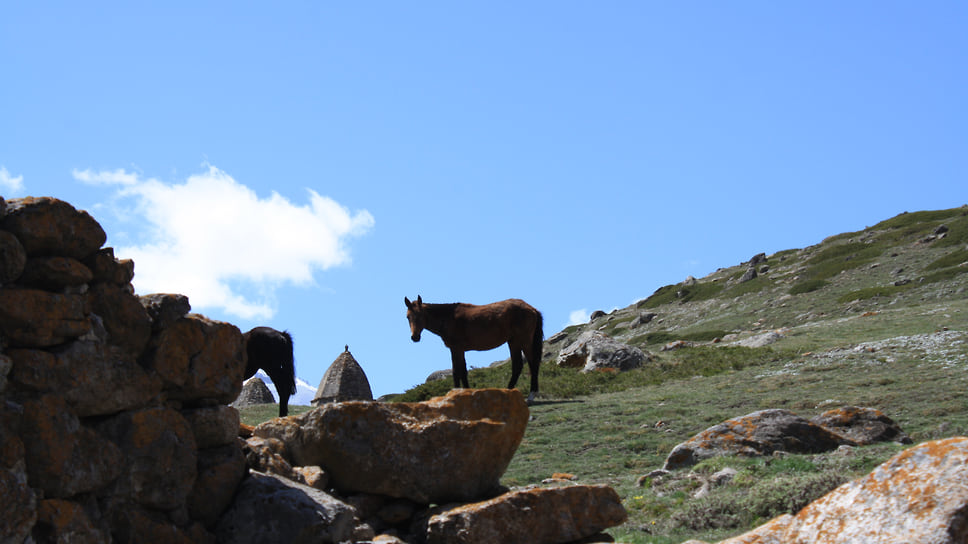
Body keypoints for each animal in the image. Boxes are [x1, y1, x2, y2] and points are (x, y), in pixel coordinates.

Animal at [402, 296, 544, 402]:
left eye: (420, 315)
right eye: (408, 317)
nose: (415, 337)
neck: (449, 317)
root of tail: (531, 309)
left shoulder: (455, 349)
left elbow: (456, 371)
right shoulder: (460, 350)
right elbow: (463, 372)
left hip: (523, 341)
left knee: (532, 364)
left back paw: (530, 395)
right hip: (513, 342)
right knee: (518, 365)